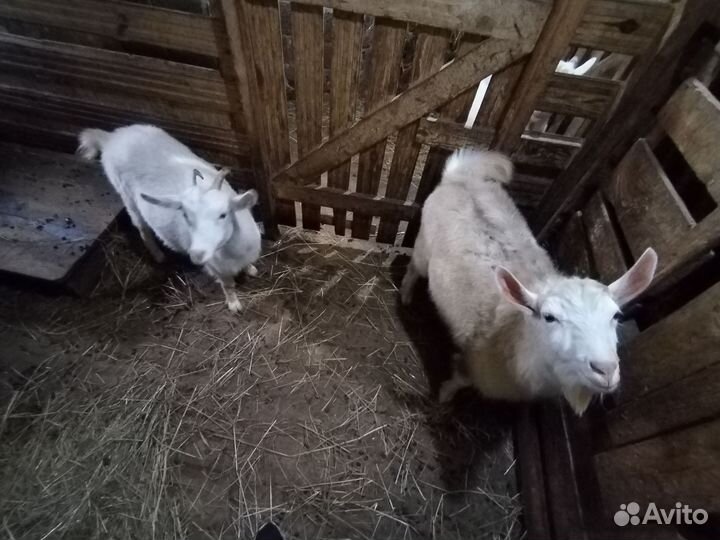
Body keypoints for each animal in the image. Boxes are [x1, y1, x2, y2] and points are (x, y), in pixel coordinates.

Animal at [78, 124, 261, 312]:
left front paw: (251, 270)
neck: (234, 250)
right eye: (186, 216)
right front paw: (234, 305)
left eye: (223, 214)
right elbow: (228, 286)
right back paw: (158, 255)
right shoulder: (218, 269)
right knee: (142, 228)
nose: (197, 254)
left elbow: (248, 265)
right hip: (127, 197)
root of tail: (111, 137)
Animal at [401, 150, 657, 415]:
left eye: (616, 316)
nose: (605, 369)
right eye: (549, 317)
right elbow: (458, 380)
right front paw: (444, 396)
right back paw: (406, 296)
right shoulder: (472, 361)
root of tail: (461, 176)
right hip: (423, 246)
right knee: (414, 269)